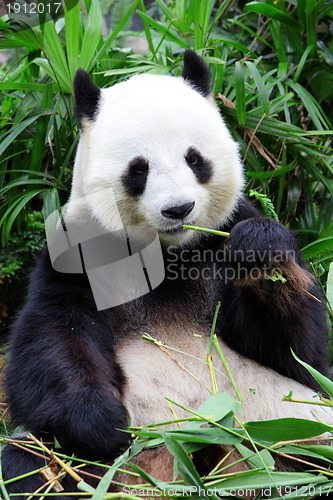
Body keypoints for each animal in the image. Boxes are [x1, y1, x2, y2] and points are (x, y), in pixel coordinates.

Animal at [2, 50, 332, 496]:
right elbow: (54, 336)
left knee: (304, 445)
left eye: (195, 159)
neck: (167, 253)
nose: (179, 209)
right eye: (138, 169)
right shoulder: (83, 250)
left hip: (286, 429)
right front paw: (101, 423)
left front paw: (260, 250)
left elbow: (297, 353)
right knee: (29, 462)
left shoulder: (221, 235)